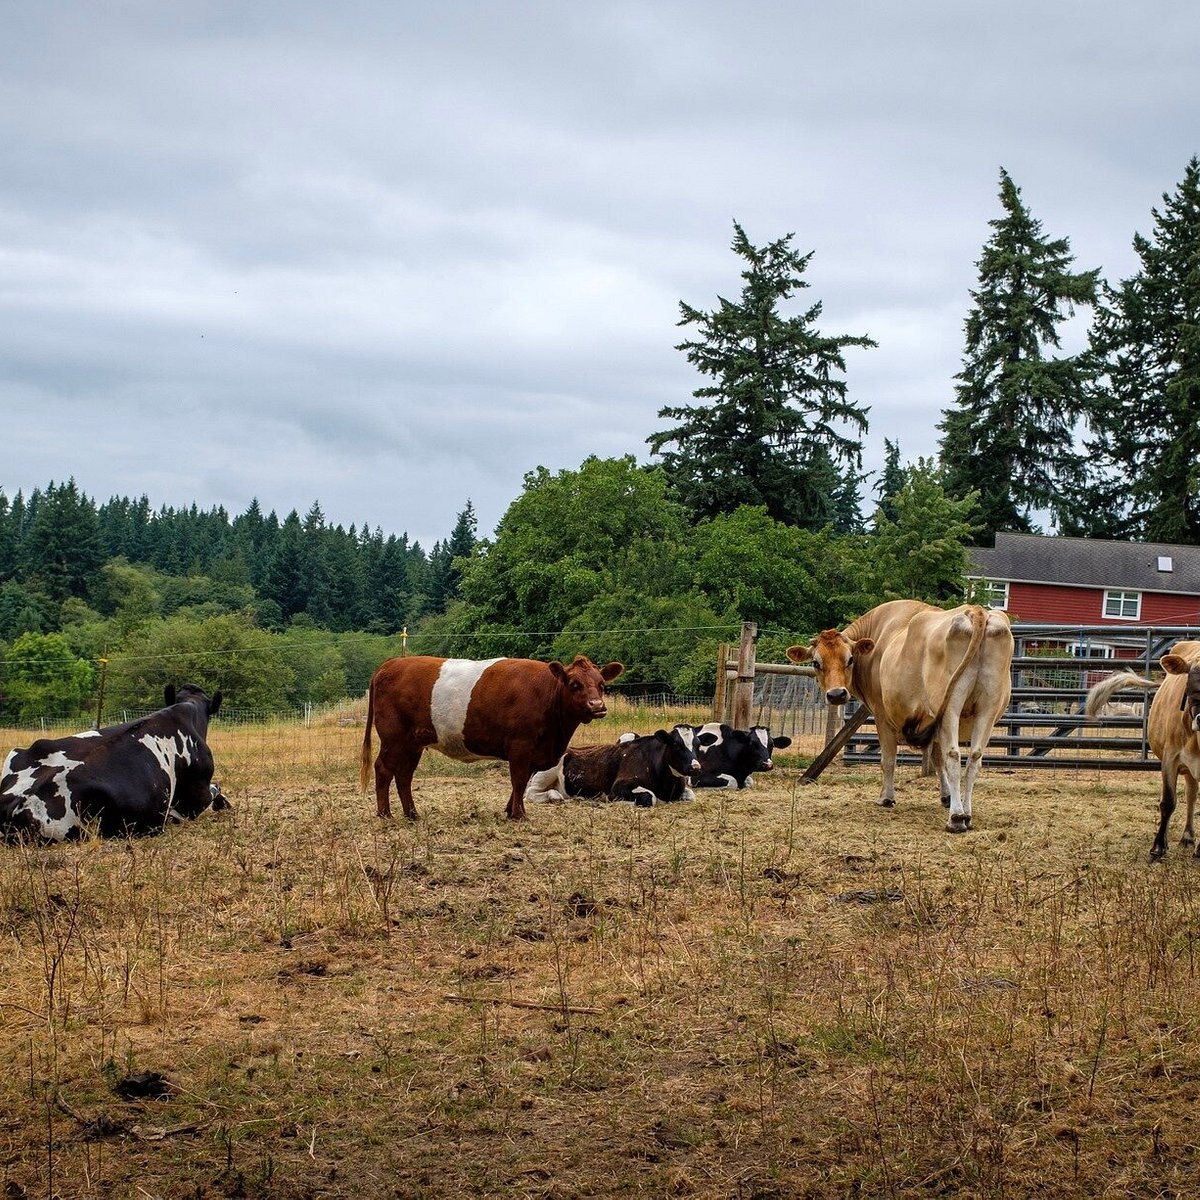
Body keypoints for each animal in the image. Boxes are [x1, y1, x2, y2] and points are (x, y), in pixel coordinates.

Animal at [355, 652, 624, 820]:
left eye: (601, 684)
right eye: (574, 684)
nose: (597, 706)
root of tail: (390, 664)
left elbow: (521, 782)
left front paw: (510, 811)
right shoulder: (520, 746)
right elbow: (518, 780)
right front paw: (519, 814)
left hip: (413, 744)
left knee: (404, 775)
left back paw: (412, 814)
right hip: (393, 739)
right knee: (383, 769)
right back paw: (385, 814)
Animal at [525, 724, 700, 811]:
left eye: (698, 744)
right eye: (676, 744)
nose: (696, 767)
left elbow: (691, 795)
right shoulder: (618, 787)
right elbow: (649, 797)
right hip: (545, 773)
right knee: (530, 793)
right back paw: (553, 796)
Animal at [787, 604, 1012, 830]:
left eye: (850, 659)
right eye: (816, 662)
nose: (836, 694)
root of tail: (975, 611)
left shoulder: (881, 715)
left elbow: (888, 759)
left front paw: (886, 798)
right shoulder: (935, 726)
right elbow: (937, 759)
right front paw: (946, 796)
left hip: (951, 707)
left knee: (954, 756)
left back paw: (956, 817)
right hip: (987, 709)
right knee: (974, 758)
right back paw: (967, 814)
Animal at [1094, 648, 1200, 864]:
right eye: (1193, 678)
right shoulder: (1170, 759)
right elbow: (1168, 802)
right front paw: (1158, 848)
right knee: (1191, 793)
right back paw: (1187, 837)